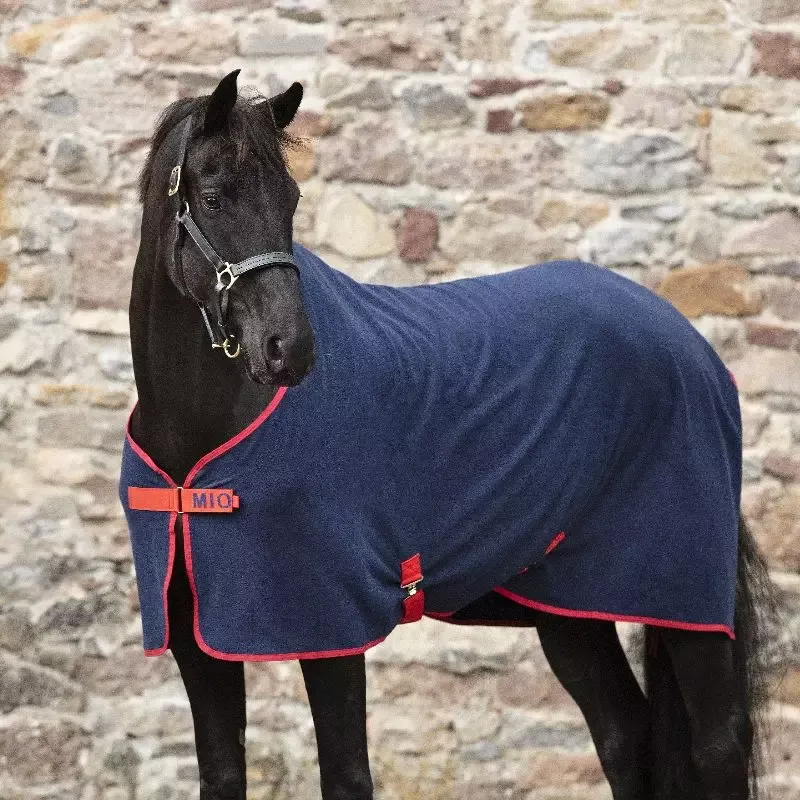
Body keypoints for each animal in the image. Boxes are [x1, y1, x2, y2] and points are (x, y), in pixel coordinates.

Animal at [122, 70, 774, 800]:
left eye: (290, 199)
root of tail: (693, 348)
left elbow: (345, 775)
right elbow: (222, 771)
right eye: (212, 197)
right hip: (569, 608)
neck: (202, 437)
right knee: (623, 735)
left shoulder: (333, 624)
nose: (288, 349)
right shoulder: (193, 636)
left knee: (717, 743)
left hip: (685, 598)